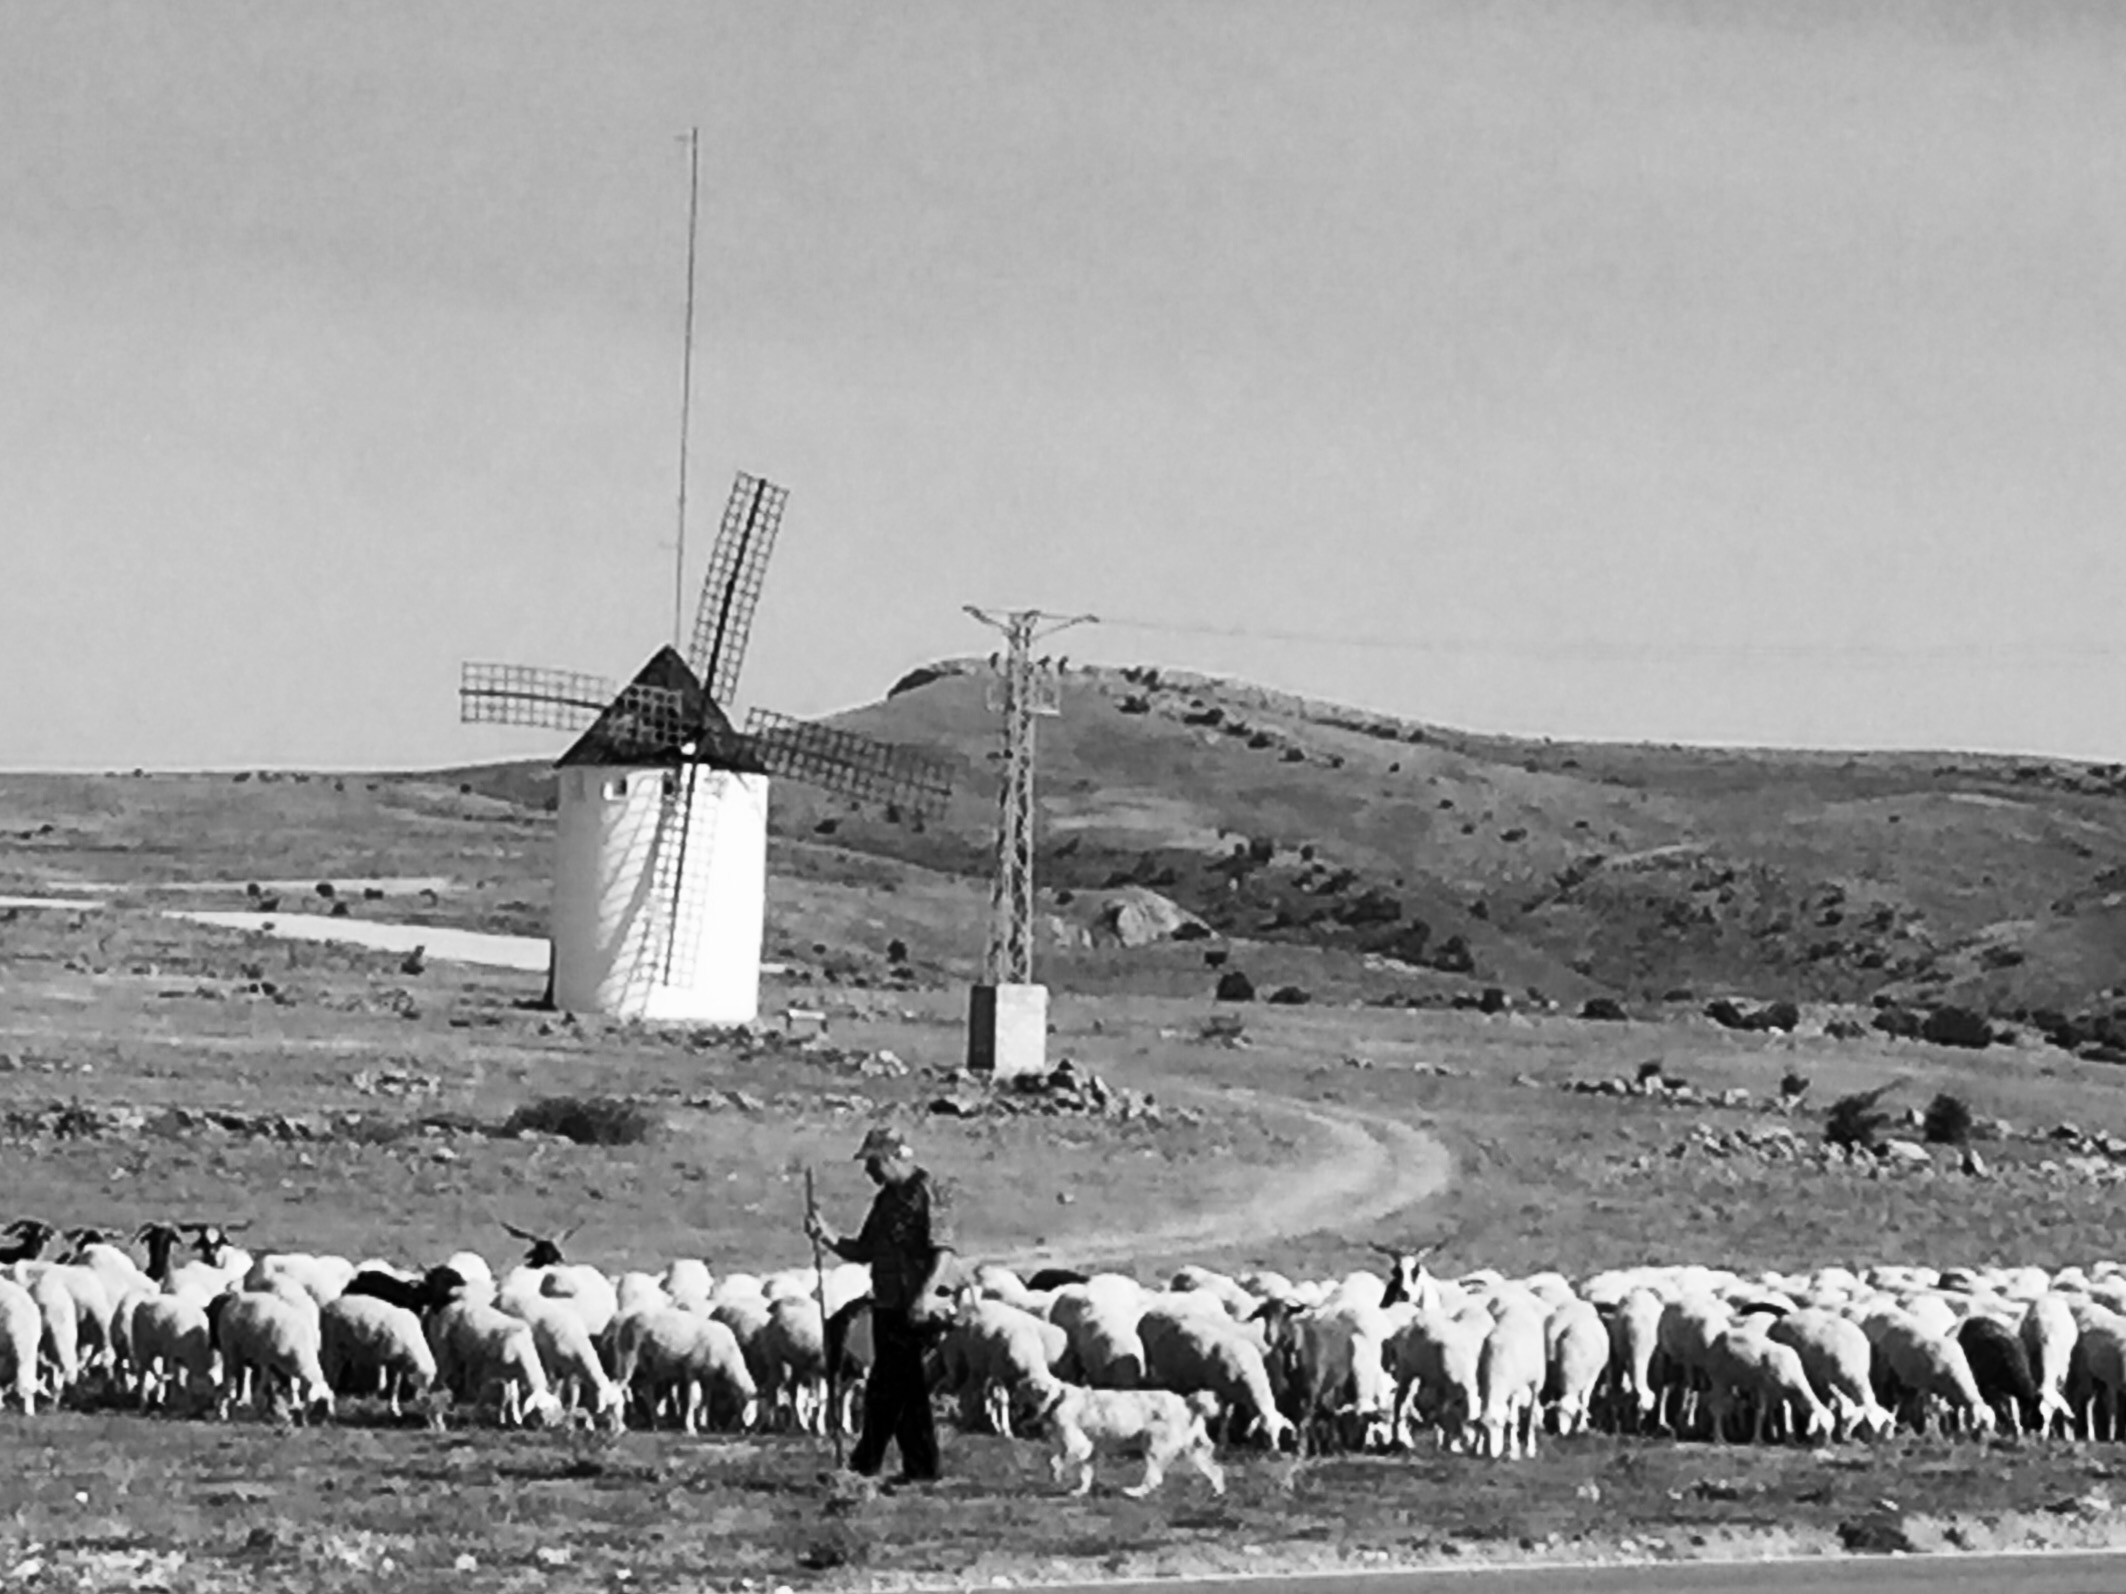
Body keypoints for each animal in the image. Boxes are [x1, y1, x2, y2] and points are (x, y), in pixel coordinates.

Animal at [1016, 1377, 1224, 1504]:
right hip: (1195, 1450)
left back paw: (1134, 1492)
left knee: (1154, 1478)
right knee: (1216, 1471)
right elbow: (1085, 1472)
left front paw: (1056, 1475)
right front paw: (1080, 1491)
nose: (1013, 1390)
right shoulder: (1089, 1449)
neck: (1058, 1397)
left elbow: (1055, 1461)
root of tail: (1187, 1402)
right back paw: (1218, 1493)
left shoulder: (1079, 1444)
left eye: (1024, 1387)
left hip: (1154, 1442)